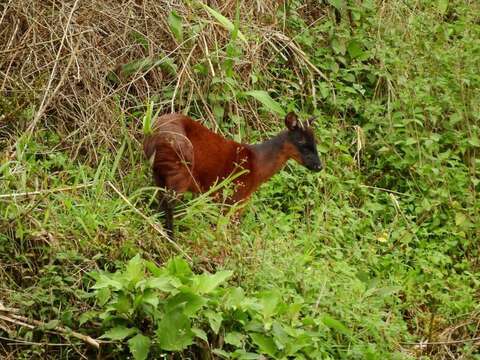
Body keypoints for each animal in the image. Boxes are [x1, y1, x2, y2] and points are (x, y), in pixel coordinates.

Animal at [143, 111, 322, 238]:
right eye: (302, 142)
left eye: (315, 142)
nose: (319, 166)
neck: (257, 165)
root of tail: (154, 135)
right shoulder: (235, 197)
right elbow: (228, 230)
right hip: (180, 171)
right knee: (167, 205)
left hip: (159, 174)